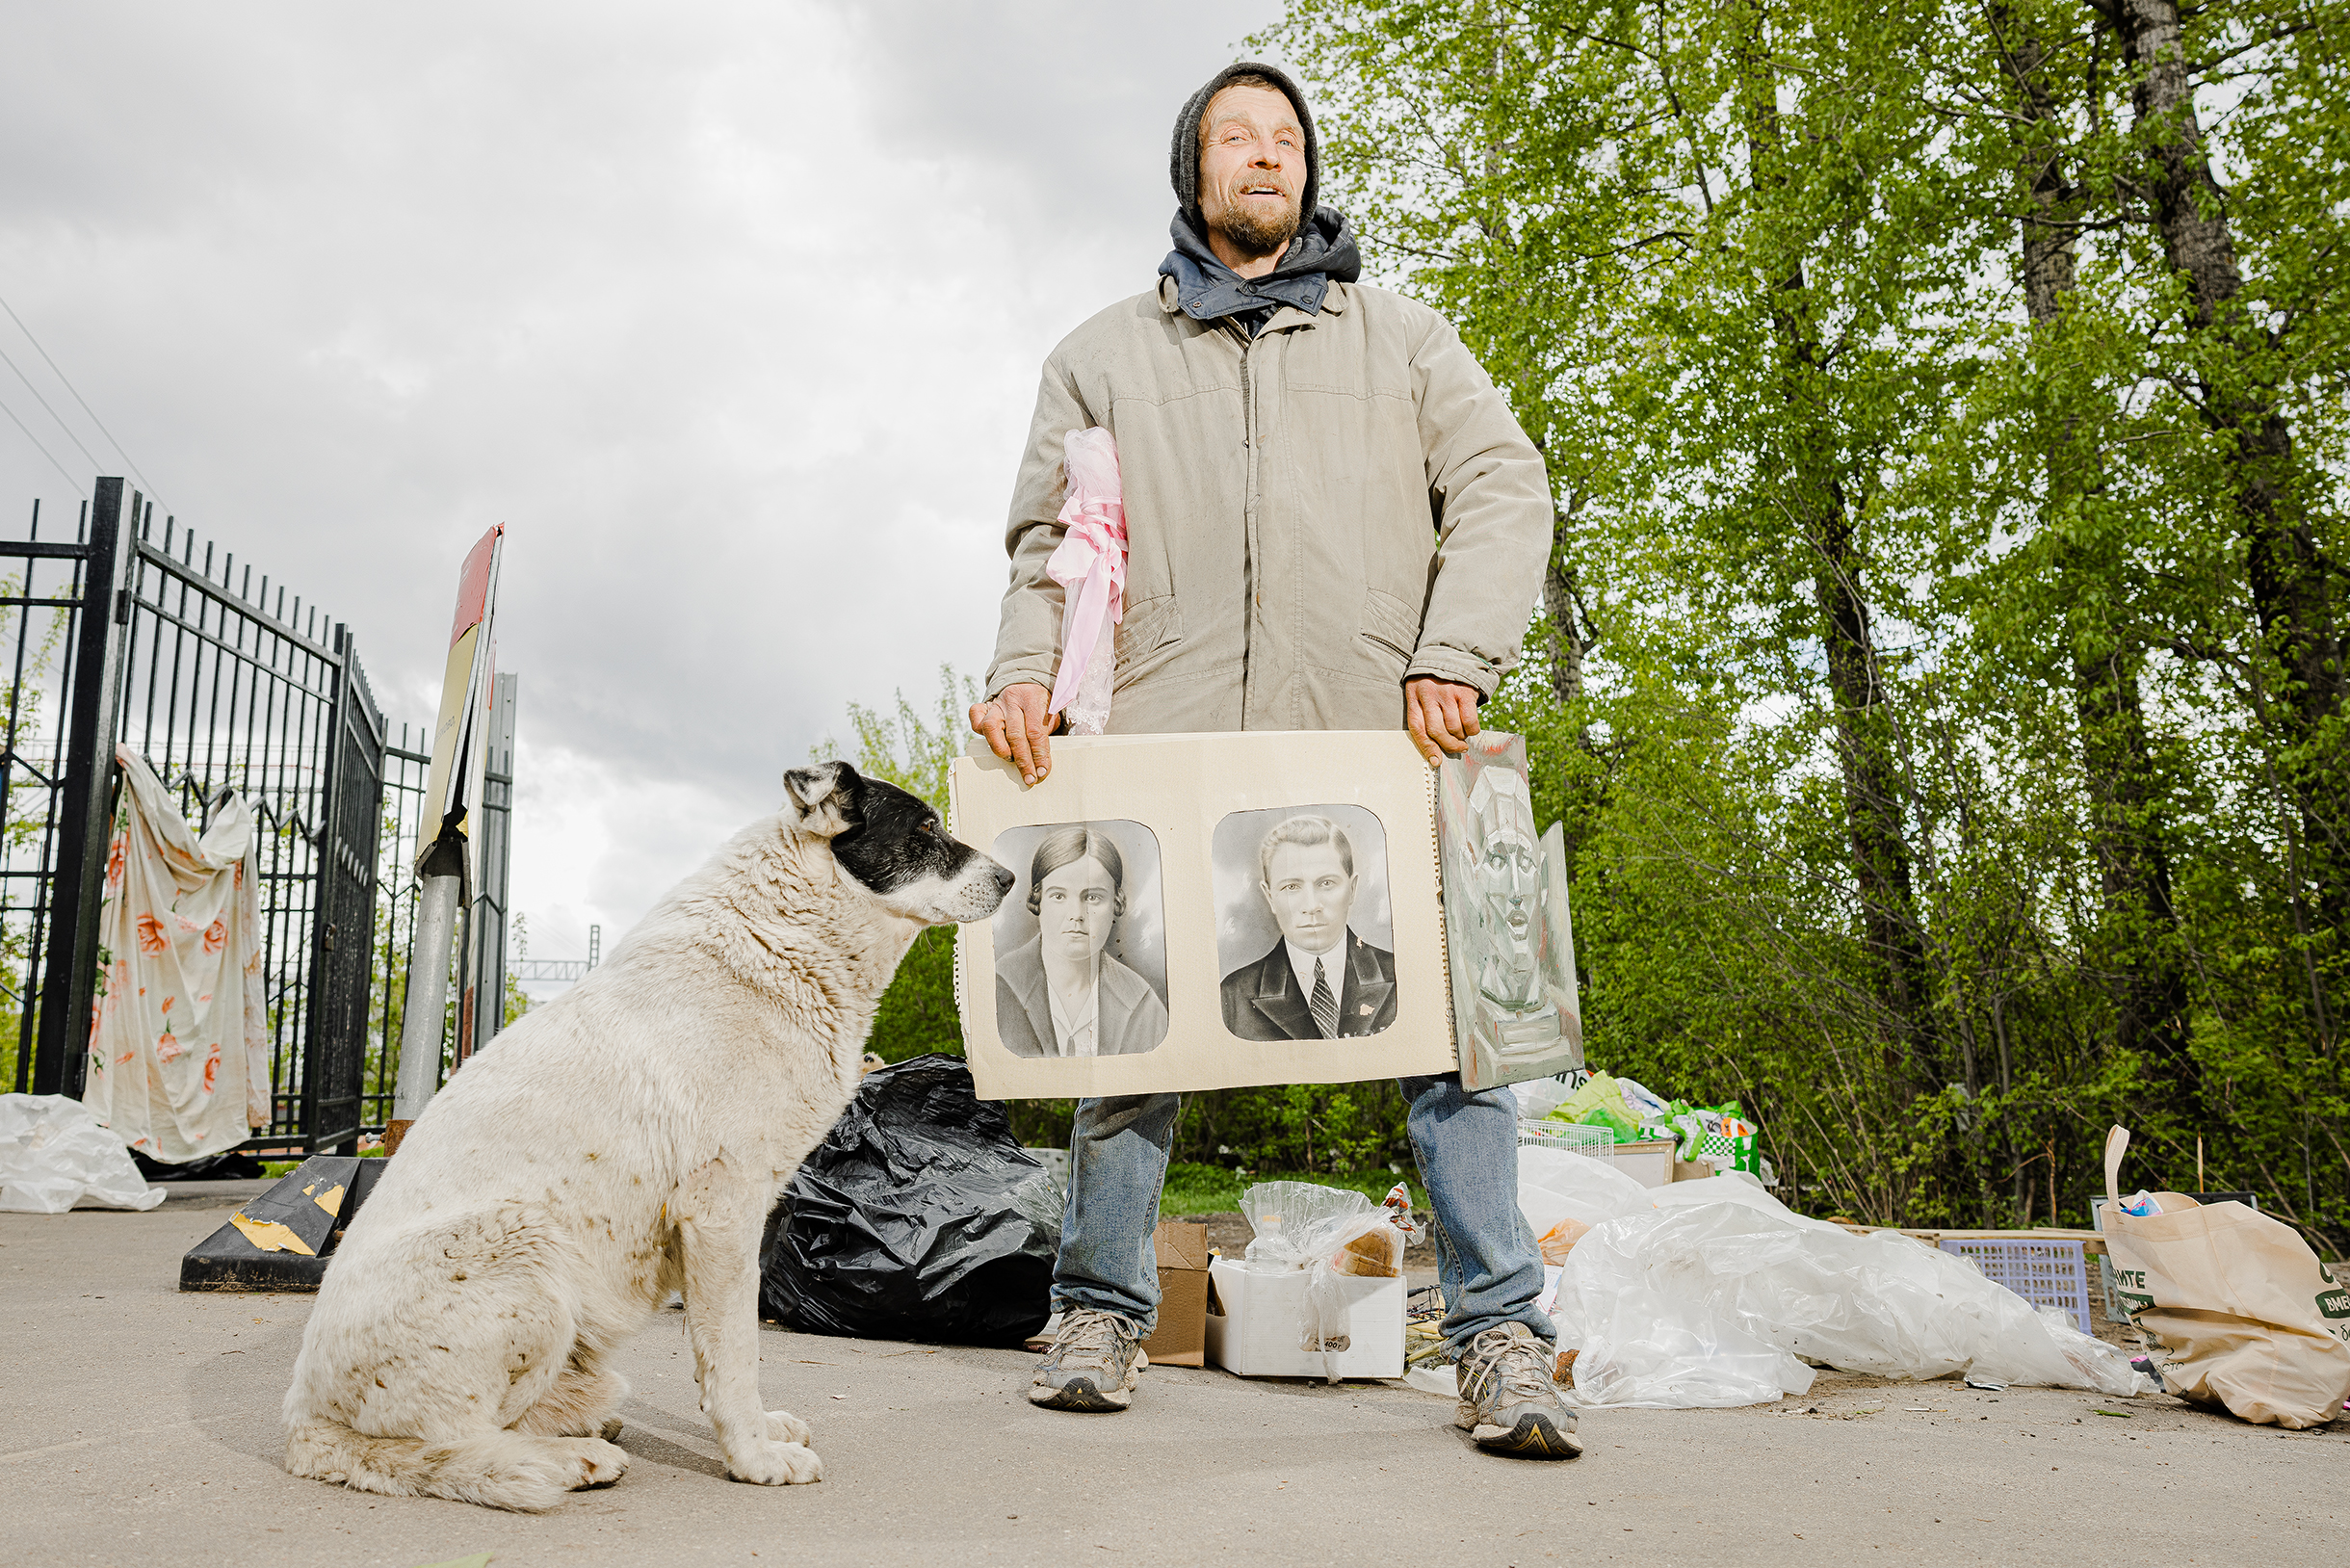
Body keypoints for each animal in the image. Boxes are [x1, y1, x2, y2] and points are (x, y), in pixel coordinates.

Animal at [276, 766, 1010, 1513]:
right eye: (926, 828)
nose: (1011, 877)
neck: (781, 934)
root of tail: (307, 1425)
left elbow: (718, 1355)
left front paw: (759, 1433)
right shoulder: (720, 1214)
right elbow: (735, 1355)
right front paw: (754, 1458)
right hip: (525, 1246)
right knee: (442, 1442)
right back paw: (565, 1458)